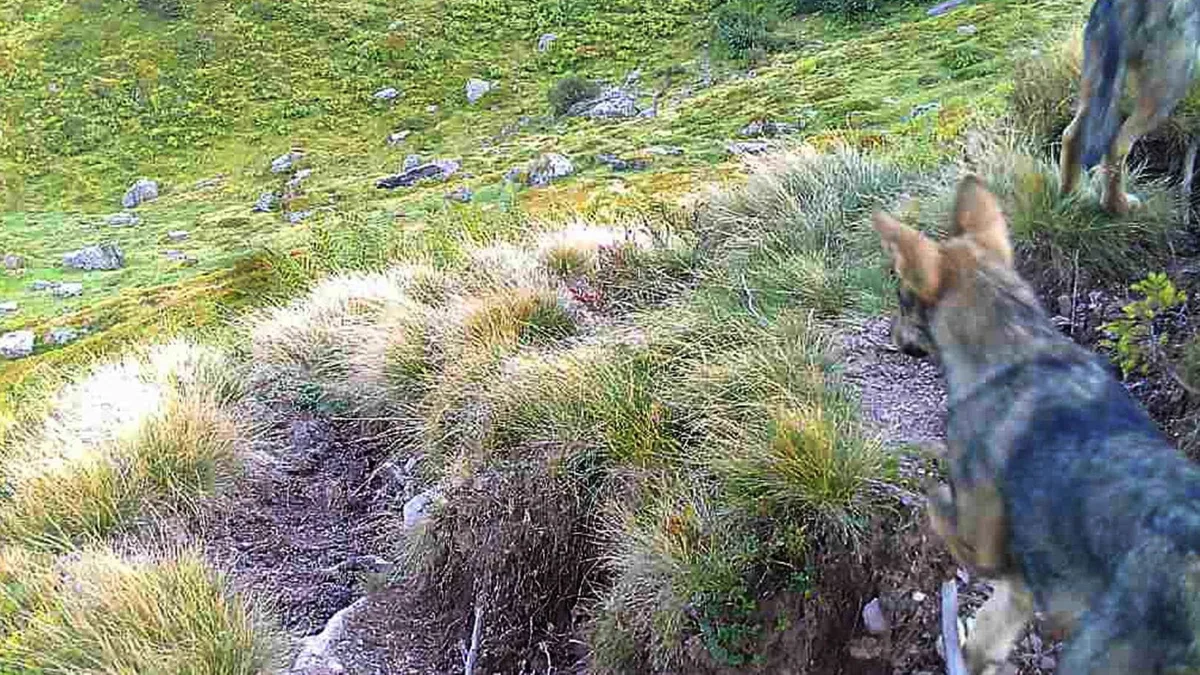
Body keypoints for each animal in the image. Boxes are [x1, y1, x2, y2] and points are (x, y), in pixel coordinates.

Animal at [874, 175, 1200, 674]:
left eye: (901, 299)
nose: (889, 335)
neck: (1018, 345)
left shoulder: (983, 550)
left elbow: (936, 502)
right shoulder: (1020, 588)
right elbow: (989, 634)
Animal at [1059, 0, 1200, 215]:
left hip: (1097, 80)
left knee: (1071, 134)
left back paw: (1071, 197)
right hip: (1170, 84)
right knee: (1117, 146)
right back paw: (1119, 206)